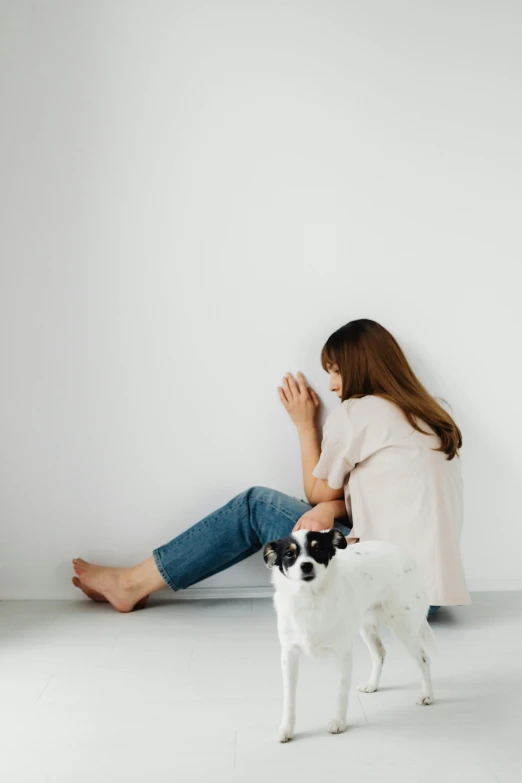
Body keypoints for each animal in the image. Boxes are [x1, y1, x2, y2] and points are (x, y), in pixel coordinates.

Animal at [262, 528, 432, 744]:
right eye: (289, 554)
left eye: (318, 549)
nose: (306, 565)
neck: (310, 599)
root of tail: (407, 556)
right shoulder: (289, 655)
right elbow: (289, 697)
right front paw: (286, 728)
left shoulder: (342, 655)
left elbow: (340, 692)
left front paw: (338, 722)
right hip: (367, 625)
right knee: (380, 654)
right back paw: (372, 685)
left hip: (403, 625)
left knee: (423, 657)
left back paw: (427, 695)